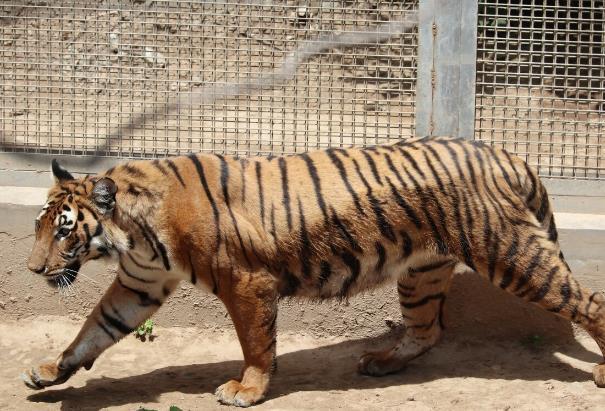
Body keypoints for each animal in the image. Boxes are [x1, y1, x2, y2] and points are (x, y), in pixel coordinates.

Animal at [21, 137, 604, 408]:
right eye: (41, 226)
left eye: (66, 231)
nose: (32, 268)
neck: (134, 233)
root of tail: (507, 153)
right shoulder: (140, 283)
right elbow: (95, 329)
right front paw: (49, 371)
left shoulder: (247, 282)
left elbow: (256, 344)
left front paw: (247, 390)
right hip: (421, 273)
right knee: (427, 329)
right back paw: (381, 362)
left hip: (513, 257)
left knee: (589, 301)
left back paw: (601, 373)